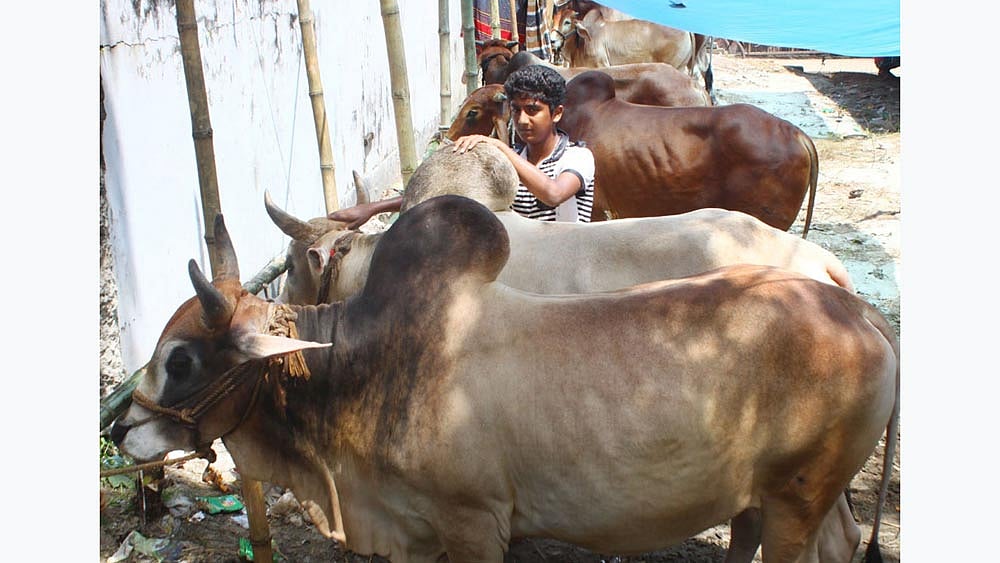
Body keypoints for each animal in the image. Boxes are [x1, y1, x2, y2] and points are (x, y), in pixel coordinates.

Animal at [110, 195, 897, 563]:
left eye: (181, 359)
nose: (119, 427)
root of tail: (859, 308)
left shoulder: (472, 521)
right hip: (782, 494)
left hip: (800, 496)